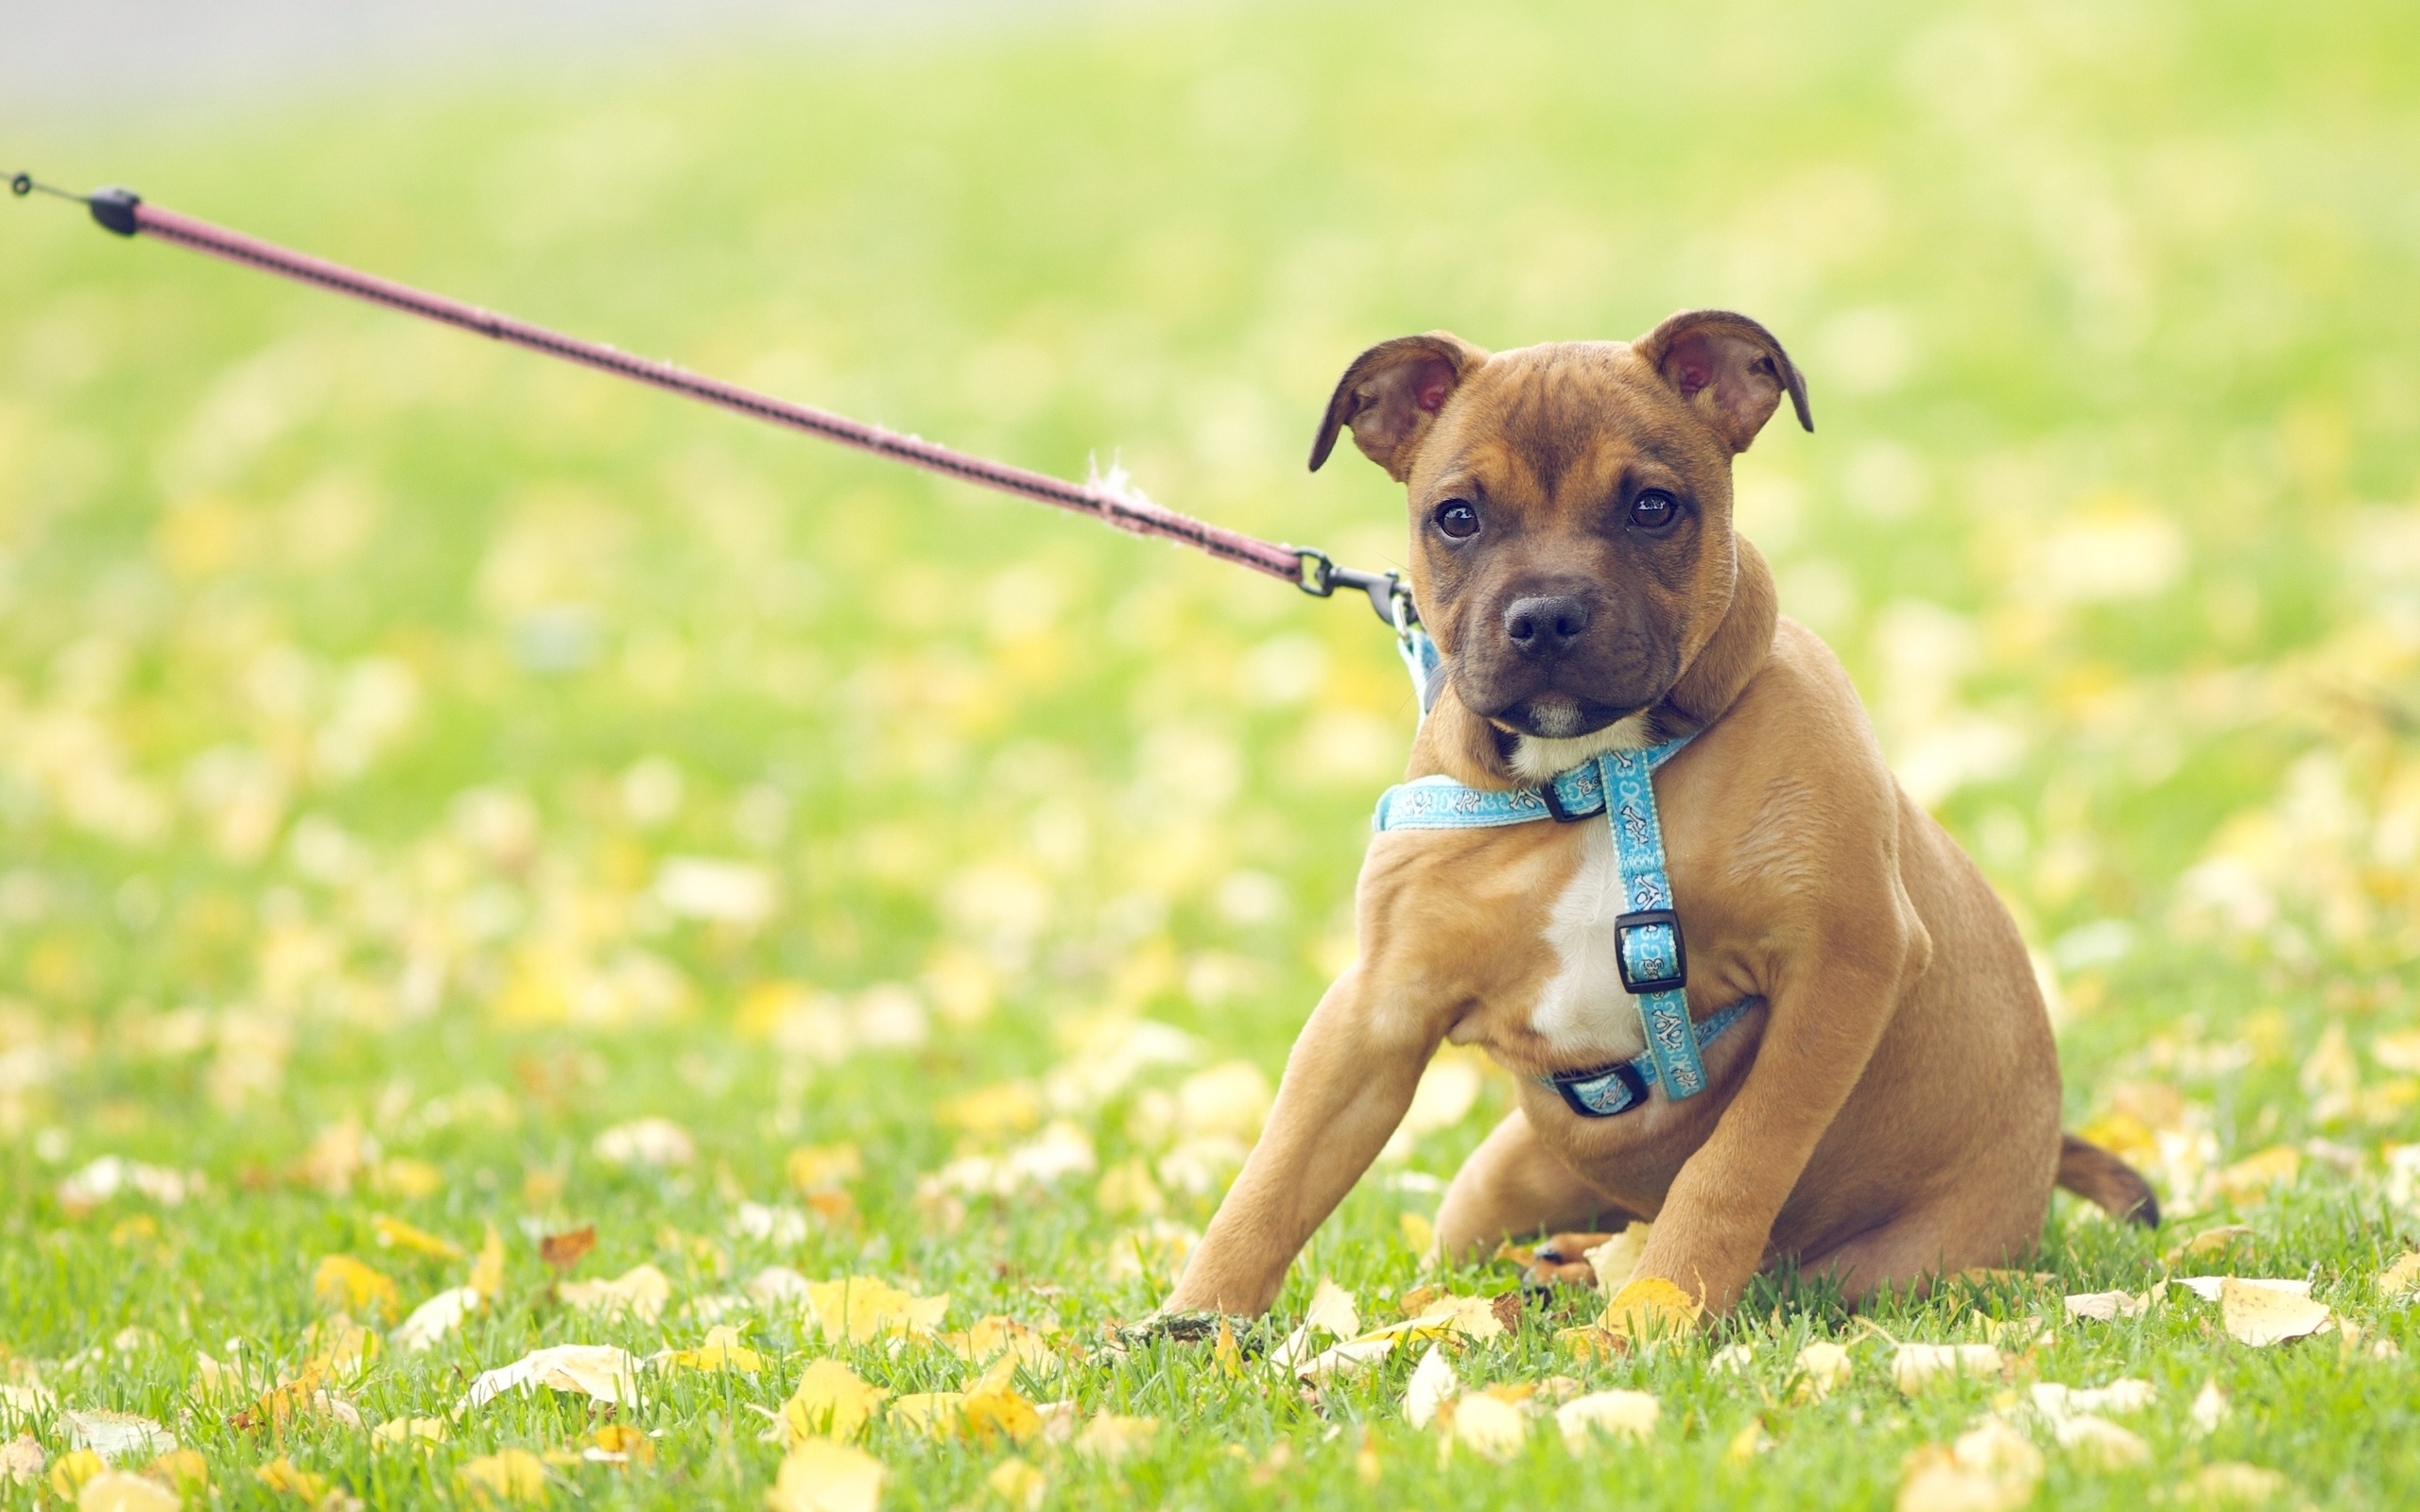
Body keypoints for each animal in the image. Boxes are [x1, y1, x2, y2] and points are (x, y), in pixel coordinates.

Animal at [1171, 309, 2158, 1315]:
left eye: (1653, 507)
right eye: (1457, 518)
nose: (1546, 616)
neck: (1597, 774)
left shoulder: (1841, 963)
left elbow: (1734, 1165)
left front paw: (1658, 1312)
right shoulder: (1376, 1009)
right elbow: (1274, 1179)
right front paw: (1195, 1323)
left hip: (1898, 1269)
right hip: (1487, 1191)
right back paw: (1559, 1267)